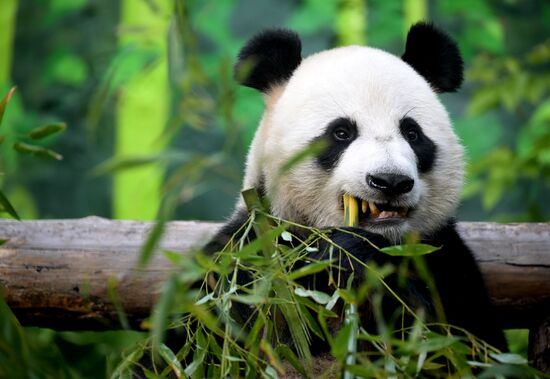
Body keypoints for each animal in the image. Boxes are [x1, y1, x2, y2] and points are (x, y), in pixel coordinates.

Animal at [207, 22, 508, 352]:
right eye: (341, 132)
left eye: (412, 133)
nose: (390, 181)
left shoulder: (445, 259)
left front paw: (354, 258)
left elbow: (460, 341)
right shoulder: (248, 252)